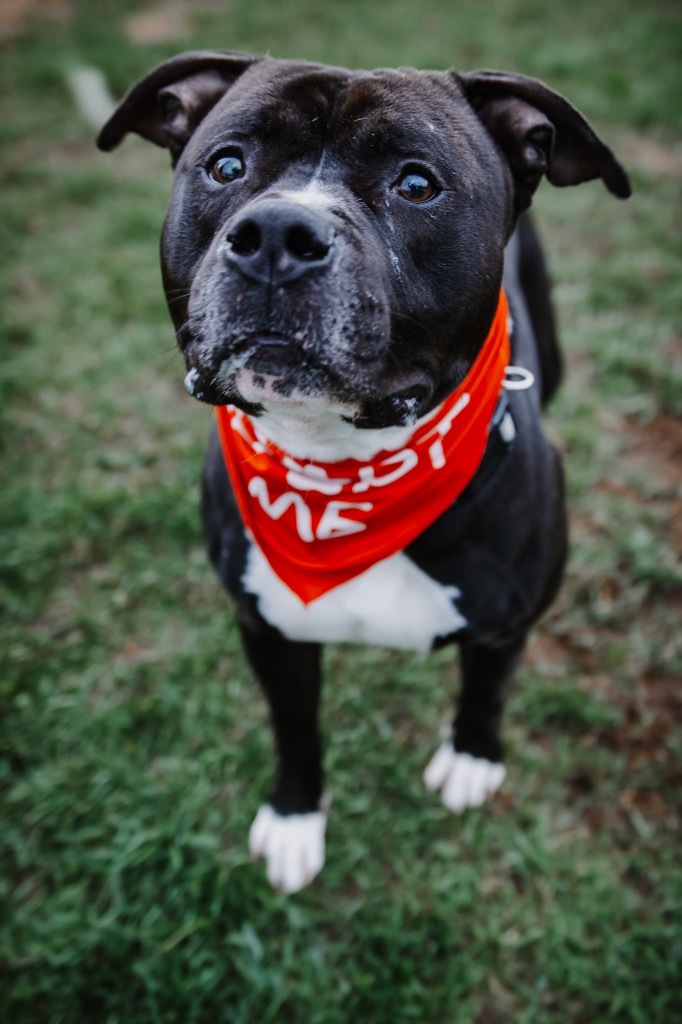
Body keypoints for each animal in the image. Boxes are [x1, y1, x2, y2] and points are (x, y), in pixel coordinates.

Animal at [98, 51, 630, 892]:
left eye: (415, 183)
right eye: (227, 165)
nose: (276, 233)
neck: (340, 474)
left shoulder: (507, 627)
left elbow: (487, 692)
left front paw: (472, 760)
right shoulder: (269, 631)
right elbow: (294, 729)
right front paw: (294, 819)